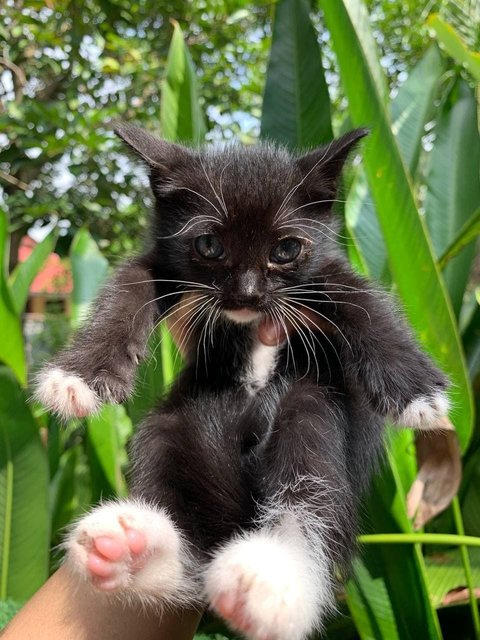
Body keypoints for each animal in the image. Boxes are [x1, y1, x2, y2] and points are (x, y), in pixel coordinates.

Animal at [35, 125, 448, 640]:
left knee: (308, 476)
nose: (247, 294)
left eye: (285, 250)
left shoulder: (327, 270)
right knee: (188, 537)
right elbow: (126, 288)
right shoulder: (161, 263)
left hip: (313, 406)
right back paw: (135, 552)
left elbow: (362, 299)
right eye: (210, 246)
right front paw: (79, 374)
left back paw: (267, 578)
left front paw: (416, 388)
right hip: (172, 423)